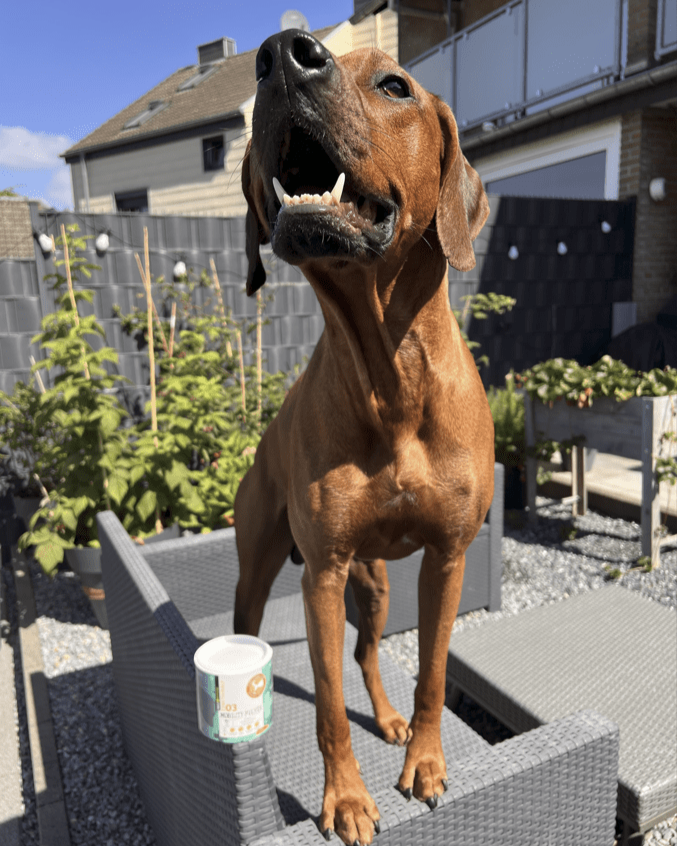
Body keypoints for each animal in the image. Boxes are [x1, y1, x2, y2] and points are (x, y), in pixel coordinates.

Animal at [235, 29, 494, 846]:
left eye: (394, 85)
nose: (282, 57)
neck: (390, 379)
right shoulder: (320, 574)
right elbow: (323, 709)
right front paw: (345, 799)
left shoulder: (447, 557)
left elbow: (432, 673)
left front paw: (426, 763)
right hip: (264, 566)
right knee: (255, 627)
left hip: (374, 582)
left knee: (367, 648)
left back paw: (386, 718)